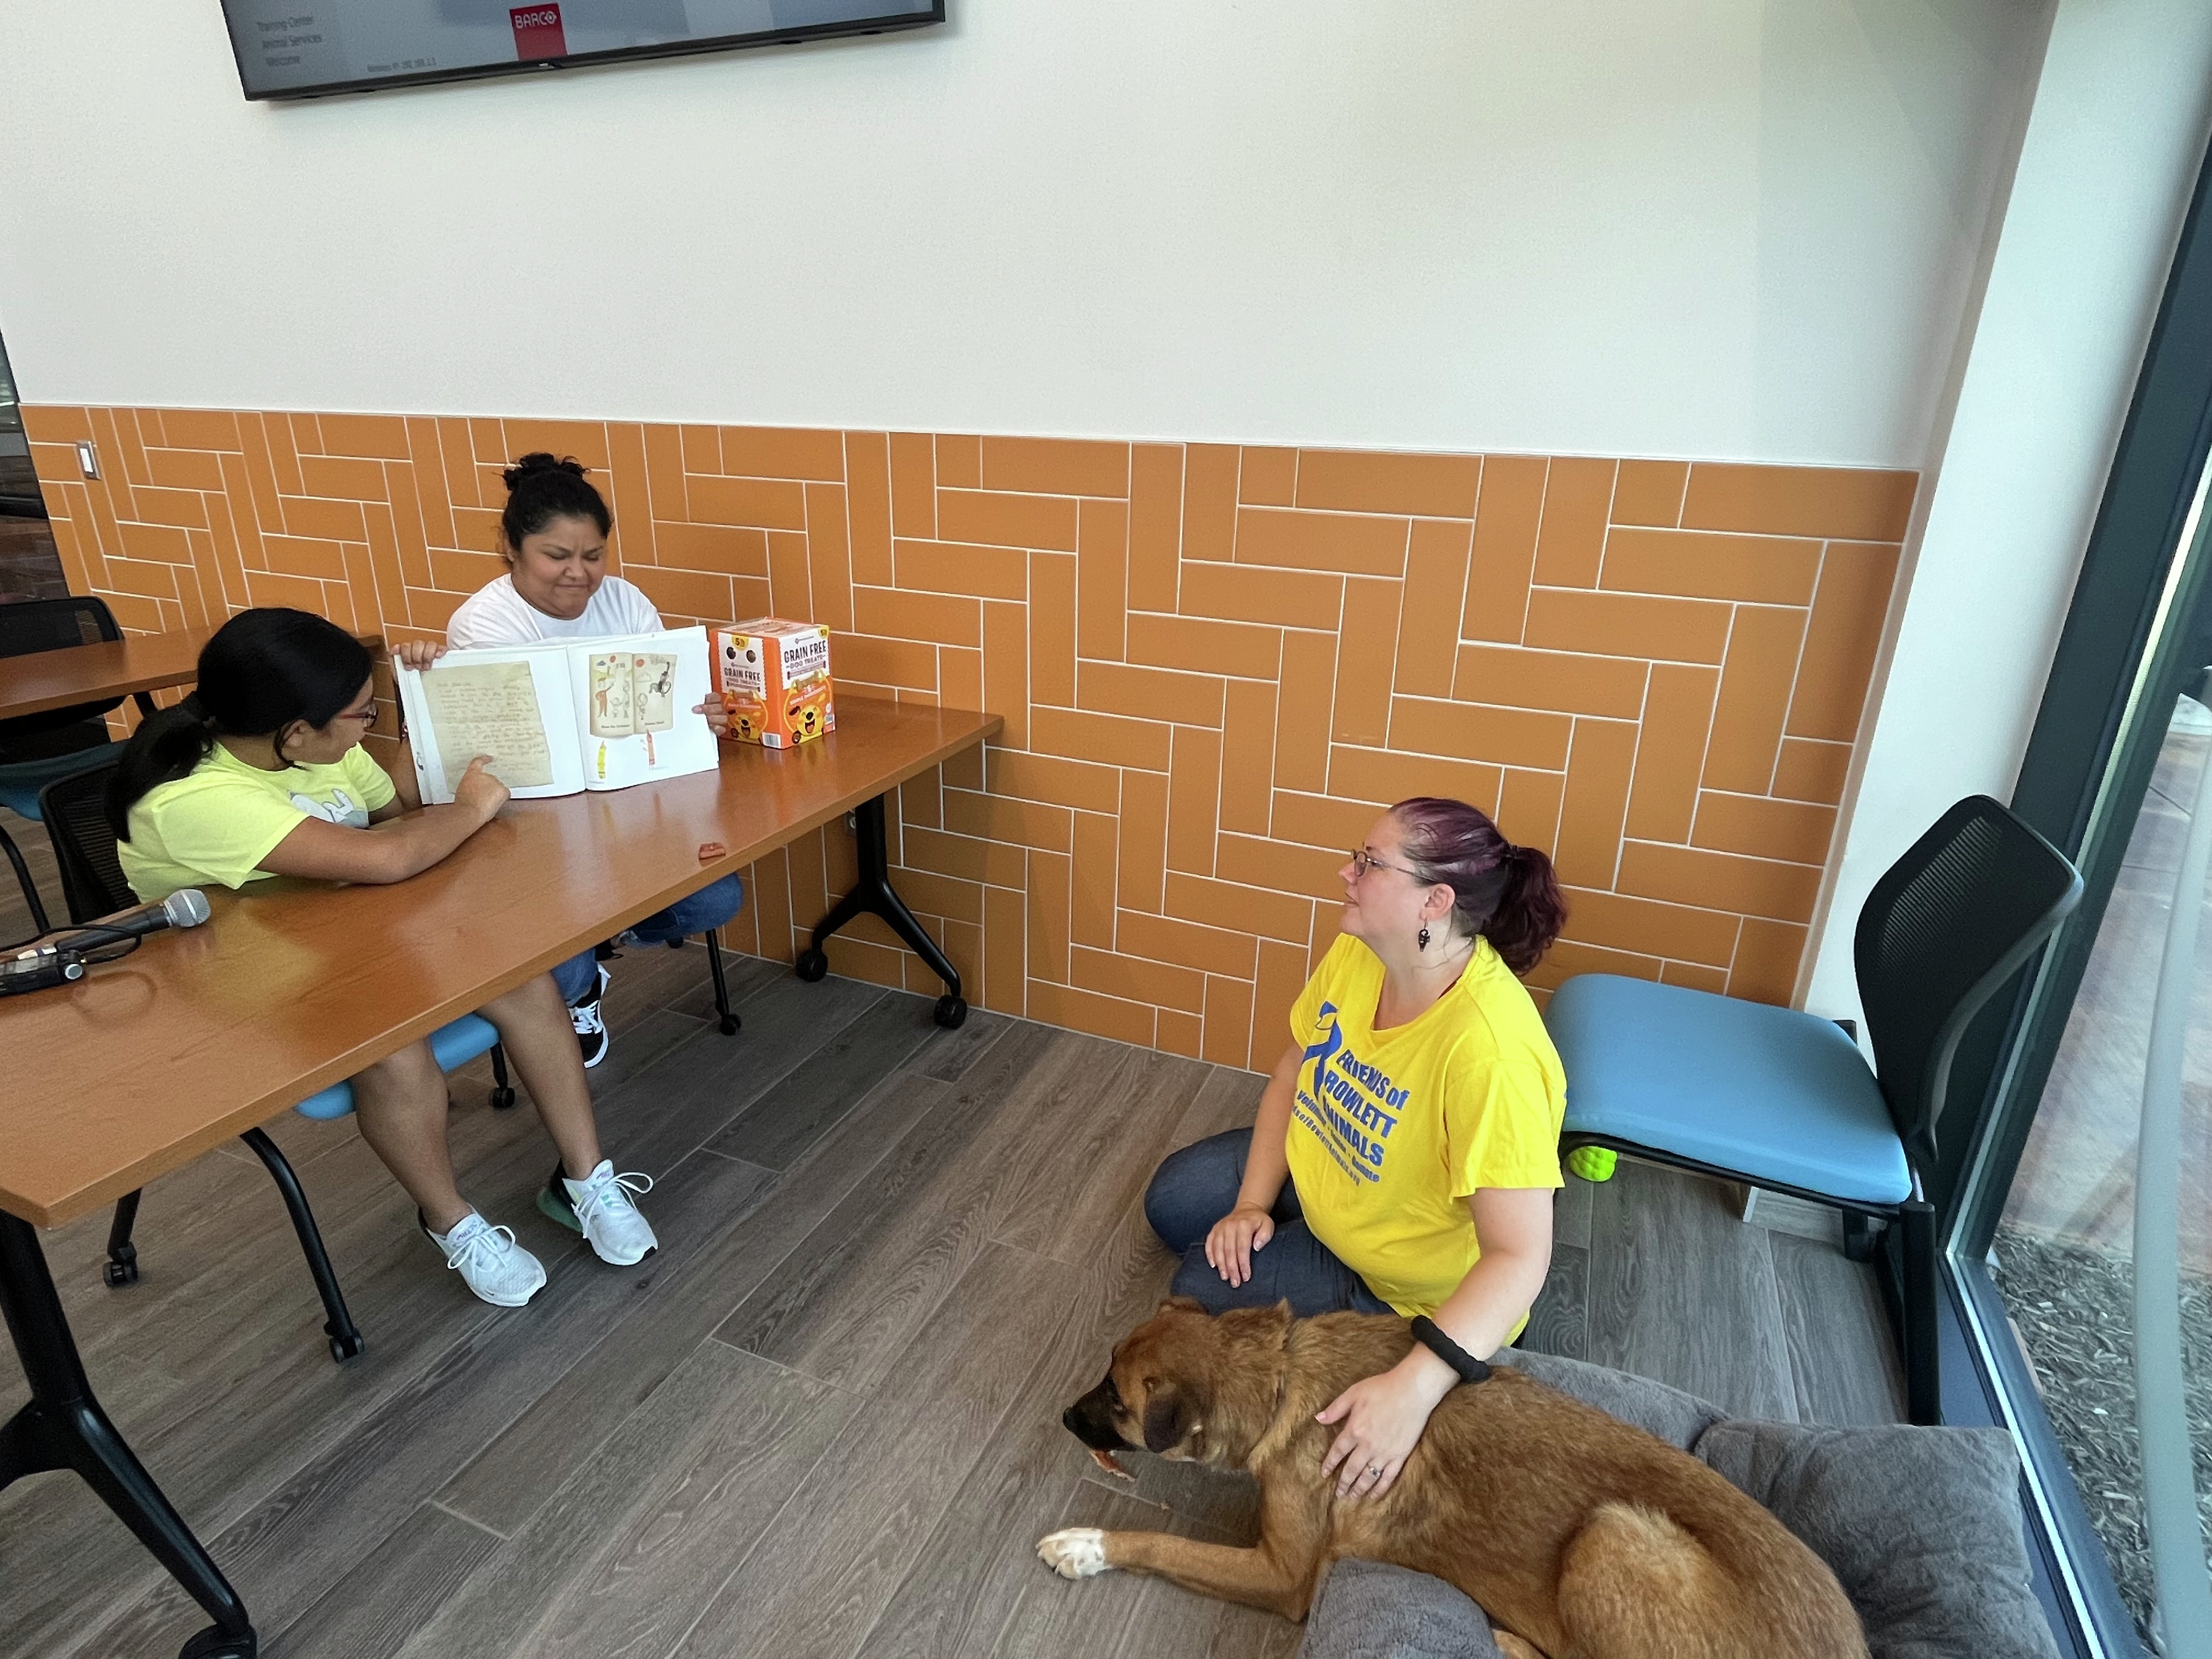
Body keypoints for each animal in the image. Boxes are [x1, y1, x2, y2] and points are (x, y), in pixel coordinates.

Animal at [1044, 1310, 1876, 1655]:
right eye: (1105, 1377)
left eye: (1116, 1399)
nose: (1060, 1416)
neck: (1279, 1371)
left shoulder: (1283, 1578)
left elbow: (1162, 1542)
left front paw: (1088, 1545)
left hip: (1616, 1535)